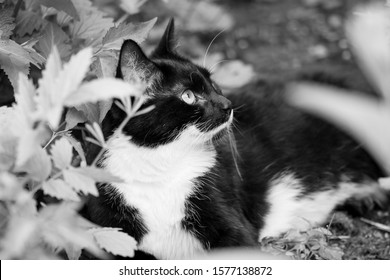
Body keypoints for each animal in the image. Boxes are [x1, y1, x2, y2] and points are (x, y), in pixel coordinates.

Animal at [81, 18, 384, 260]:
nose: (227, 104)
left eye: (213, 84)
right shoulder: (107, 226)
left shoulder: (228, 217)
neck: (160, 163)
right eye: (188, 95)